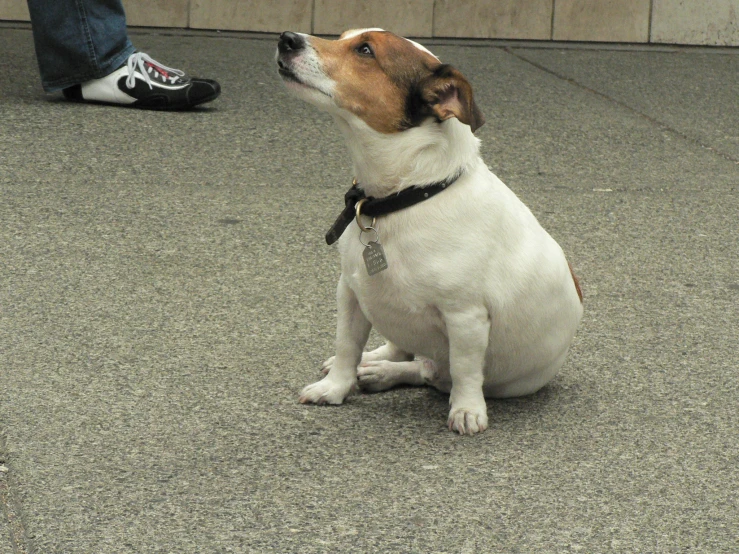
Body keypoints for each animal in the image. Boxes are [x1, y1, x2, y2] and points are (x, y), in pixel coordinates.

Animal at [278, 29, 584, 436]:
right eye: (343, 36)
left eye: (365, 50)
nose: (286, 39)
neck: (408, 194)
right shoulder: (351, 292)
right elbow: (346, 346)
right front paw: (336, 386)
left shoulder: (465, 316)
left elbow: (466, 370)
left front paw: (467, 410)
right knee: (404, 351)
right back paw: (375, 363)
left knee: (430, 370)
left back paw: (386, 372)